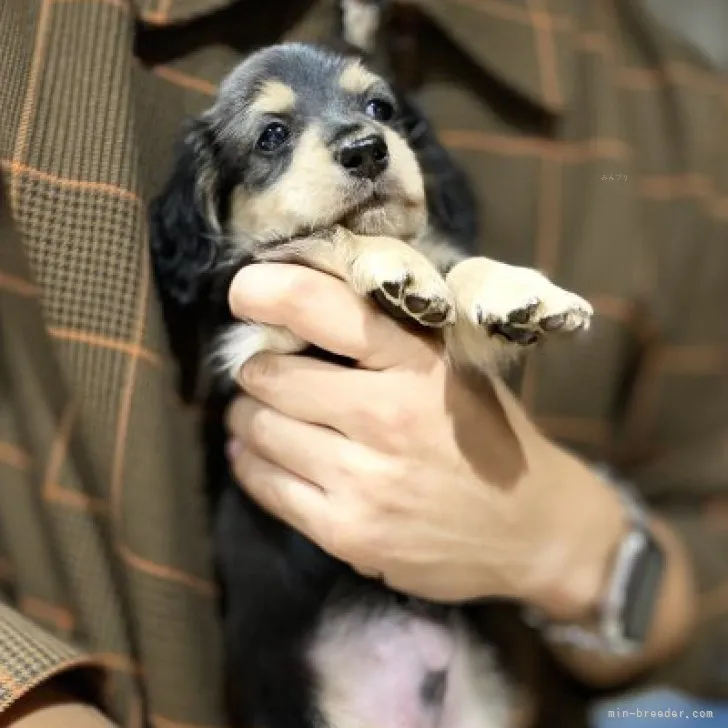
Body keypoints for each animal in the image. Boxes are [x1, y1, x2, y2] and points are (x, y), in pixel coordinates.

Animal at [151, 42, 596, 728]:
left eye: (380, 108)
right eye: (271, 135)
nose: (366, 149)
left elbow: (455, 263)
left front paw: (517, 294)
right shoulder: (254, 333)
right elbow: (317, 236)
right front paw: (396, 264)